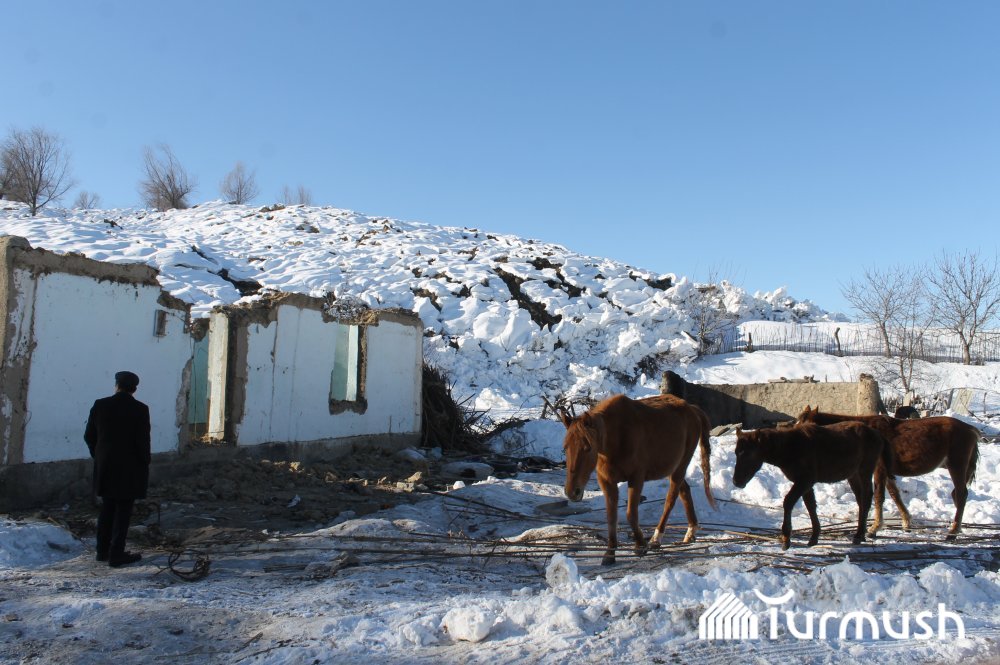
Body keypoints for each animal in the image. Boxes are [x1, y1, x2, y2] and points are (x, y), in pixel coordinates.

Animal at [559, 393, 715, 565]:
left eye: (588, 448)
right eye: (565, 448)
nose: (572, 492)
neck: (617, 437)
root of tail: (692, 409)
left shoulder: (636, 478)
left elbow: (631, 514)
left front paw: (640, 545)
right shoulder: (606, 481)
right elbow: (611, 517)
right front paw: (610, 553)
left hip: (680, 467)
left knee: (671, 500)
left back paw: (656, 538)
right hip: (671, 467)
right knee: (685, 491)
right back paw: (690, 532)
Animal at [733, 421, 891, 550]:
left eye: (749, 454)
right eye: (736, 452)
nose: (737, 481)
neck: (789, 449)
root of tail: (878, 435)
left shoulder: (805, 481)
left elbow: (788, 502)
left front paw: (786, 539)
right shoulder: (806, 483)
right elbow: (811, 507)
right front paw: (814, 537)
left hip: (865, 470)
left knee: (866, 497)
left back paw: (859, 535)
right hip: (853, 475)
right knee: (860, 500)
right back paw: (861, 534)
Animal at [797, 406, 980, 539]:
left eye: (806, 425)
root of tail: (971, 429)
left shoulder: (879, 469)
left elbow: (879, 496)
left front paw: (874, 528)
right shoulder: (886, 472)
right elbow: (894, 494)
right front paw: (906, 522)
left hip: (956, 466)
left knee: (961, 495)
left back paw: (953, 531)